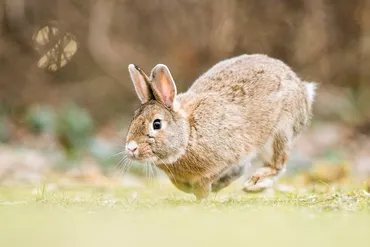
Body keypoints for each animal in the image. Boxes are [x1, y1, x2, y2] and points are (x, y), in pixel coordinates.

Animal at [124, 53, 316, 199]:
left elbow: (204, 184)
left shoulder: (229, 156)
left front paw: (204, 194)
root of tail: (303, 89)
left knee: (278, 164)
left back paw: (254, 184)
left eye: (157, 124)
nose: (131, 148)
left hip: (280, 131)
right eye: (133, 119)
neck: (188, 134)